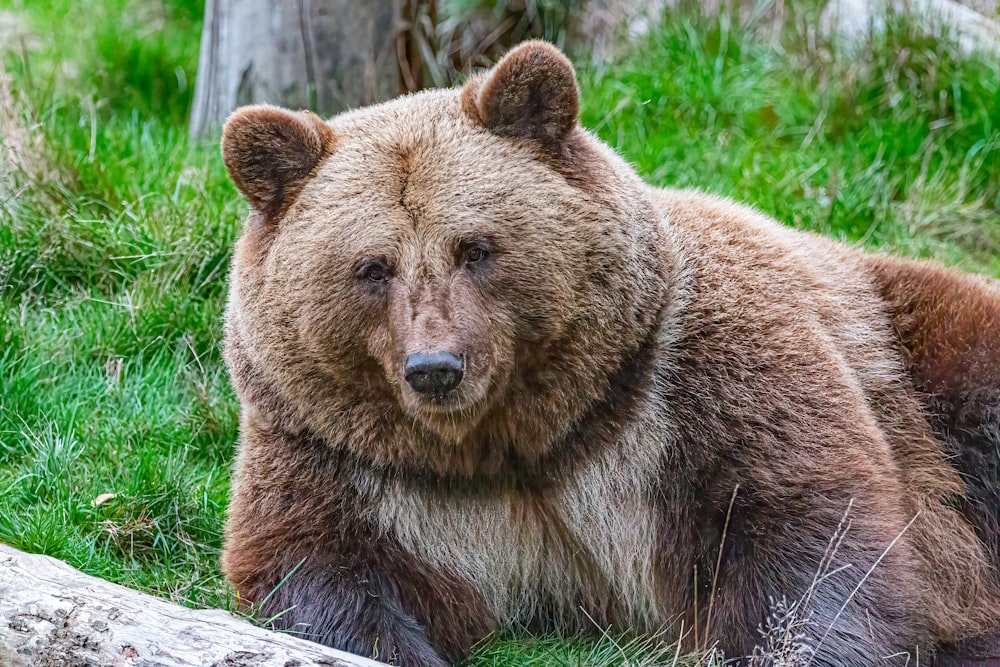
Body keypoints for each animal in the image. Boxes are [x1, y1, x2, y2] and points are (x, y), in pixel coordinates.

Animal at [219, 41, 1000, 667]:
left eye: (476, 247)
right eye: (373, 267)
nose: (436, 368)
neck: (524, 440)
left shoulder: (691, 382)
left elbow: (804, 540)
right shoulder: (354, 463)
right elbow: (318, 569)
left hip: (921, 351)